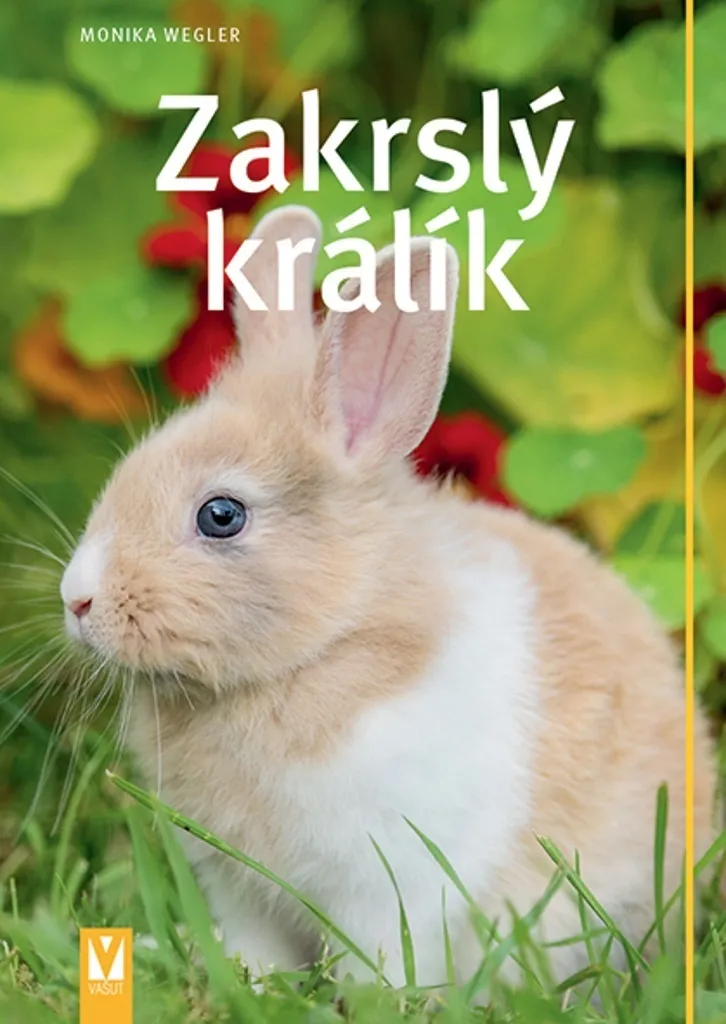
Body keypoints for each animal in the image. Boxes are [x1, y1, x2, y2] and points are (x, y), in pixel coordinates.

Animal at [60, 206, 715, 989]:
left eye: (221, 515)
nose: (78, 599)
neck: (325, 647)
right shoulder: (238, 887)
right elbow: (258, 946)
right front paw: (254, 982)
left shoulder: (390, 883)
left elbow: (383, 961)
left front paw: (371, 999)